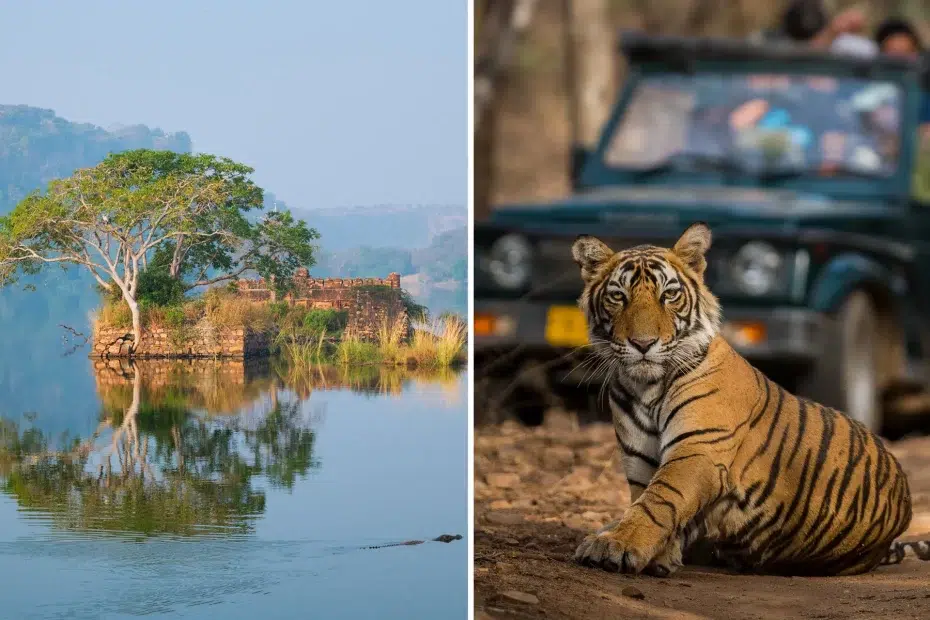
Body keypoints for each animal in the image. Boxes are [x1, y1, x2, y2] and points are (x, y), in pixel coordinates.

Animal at [564, 222, 928, 576]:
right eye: (618, 296)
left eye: (669, 295)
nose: (643, 344)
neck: (645, 388)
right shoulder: (640, 462)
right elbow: (644, 502)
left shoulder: (699, 450)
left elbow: (658, 501)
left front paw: (618, 544)